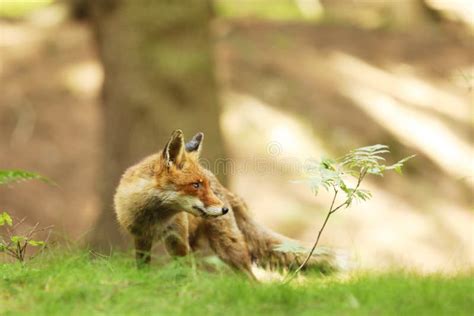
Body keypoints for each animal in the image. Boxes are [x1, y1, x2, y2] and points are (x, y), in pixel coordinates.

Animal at [114, 130, 340, 278]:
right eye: (196, 185)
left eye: (205, 185)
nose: (224, 209)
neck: (155, 218)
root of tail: (226, 190)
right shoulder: (141, 238)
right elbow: (144, 269)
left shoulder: (177, 241)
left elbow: (185, 274)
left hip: (229, 249)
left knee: (251, 278)